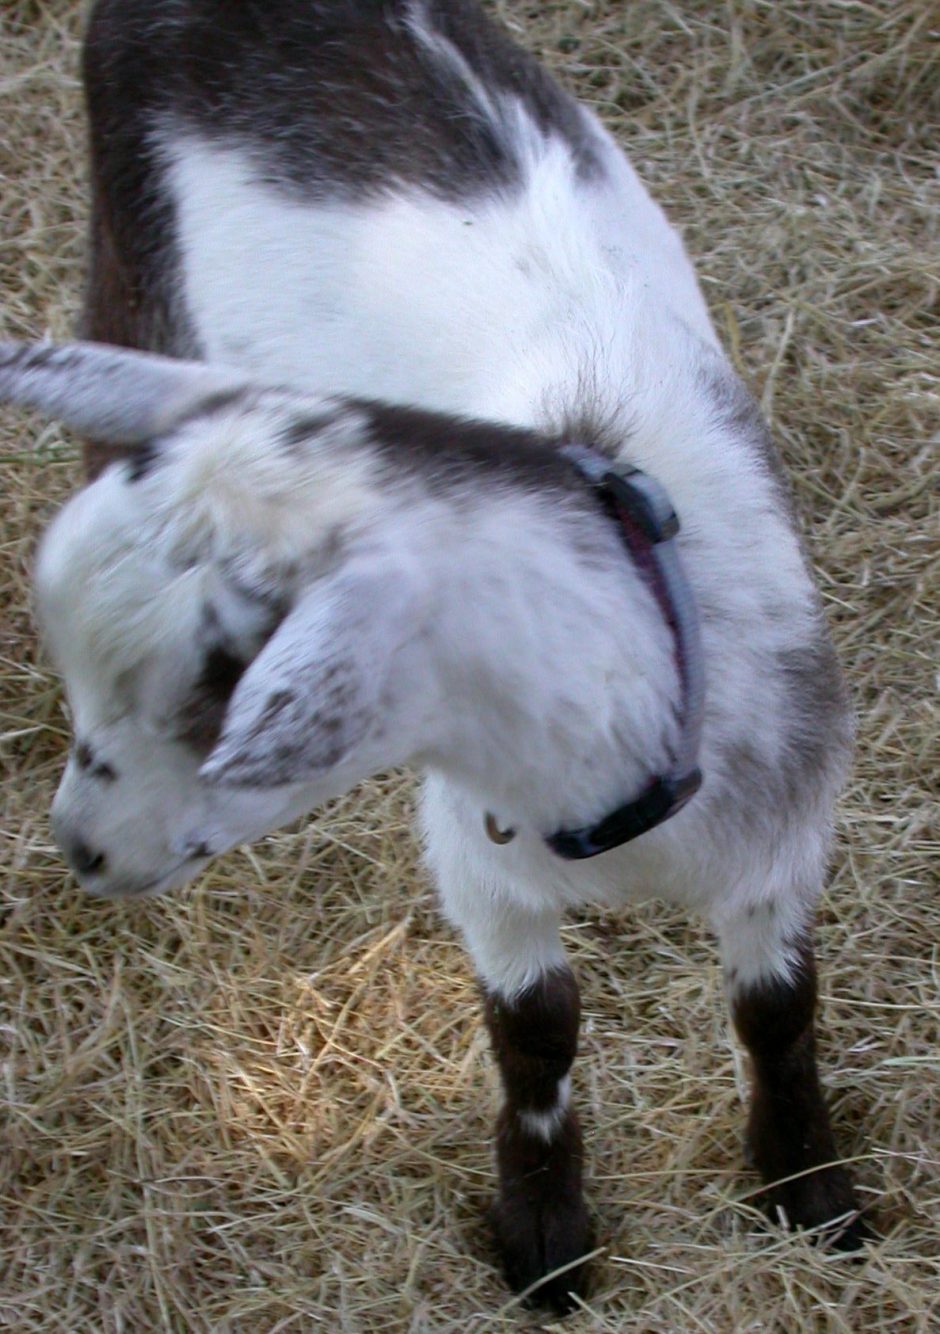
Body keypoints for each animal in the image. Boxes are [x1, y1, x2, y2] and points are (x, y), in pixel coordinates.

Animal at [1, 0, 866, 1309]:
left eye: (219, 690)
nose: (81, 848)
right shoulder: (481, 856)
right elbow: (536, 1031)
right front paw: (544, 1241)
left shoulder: (781, 833)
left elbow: (777, 1007)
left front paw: (810, 1193)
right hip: (136, 258)